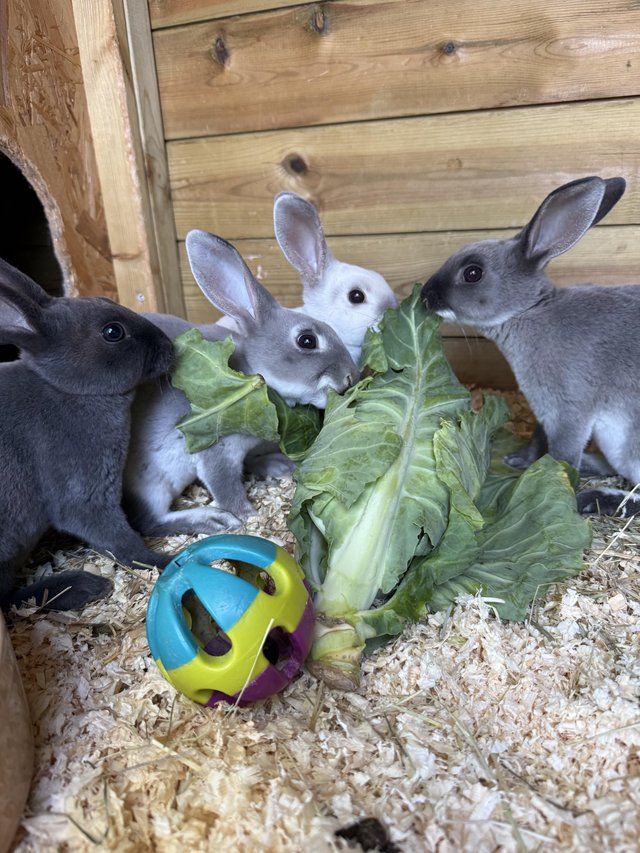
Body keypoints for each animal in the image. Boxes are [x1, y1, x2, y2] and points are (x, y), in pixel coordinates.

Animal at [0, 259, 175, 612]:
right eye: (113, 332)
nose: (170, 347)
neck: (63, 389)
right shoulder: (86, 494)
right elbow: (119, 539)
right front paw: (165, 561)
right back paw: (85, 586)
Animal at [122, 229, 357, 537]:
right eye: (307, 340)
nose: (350, 377)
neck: (250, 374)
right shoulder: (216, 452)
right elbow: (226, 487)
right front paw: (249, 517)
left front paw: (279, 465)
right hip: (151, 485)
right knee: (150, 521)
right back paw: (211, 520)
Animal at [420, 175, 640, 517]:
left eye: (473, 273)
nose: (425, 296)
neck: (528, 311)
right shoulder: (543, 411)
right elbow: (537, 439)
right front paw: (518, 461)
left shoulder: (569, 413)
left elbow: (563, 456)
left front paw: (558, 489)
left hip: (630, 445)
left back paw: (595, 498)